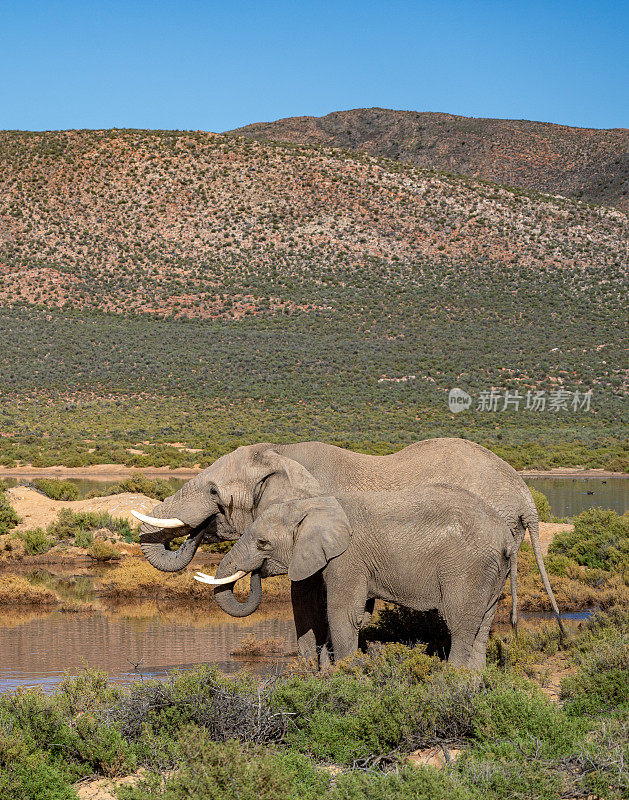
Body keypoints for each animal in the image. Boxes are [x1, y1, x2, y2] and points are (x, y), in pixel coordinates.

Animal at [199, 488, 516, 668]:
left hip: (468, 568)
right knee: (482, 627)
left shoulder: (347, 558)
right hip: (491, 572)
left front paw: (346, 677)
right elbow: (359, 616)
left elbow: (344, 615)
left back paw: (450, 684)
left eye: (263, 543)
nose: (257, 571)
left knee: (460, 625)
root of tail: (507, 538)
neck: (312, 505)